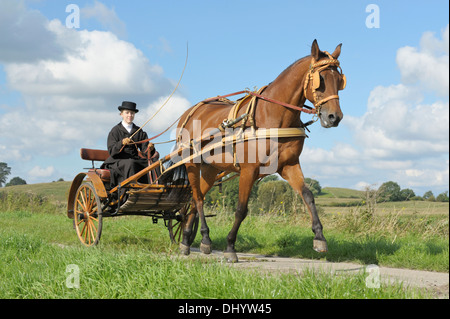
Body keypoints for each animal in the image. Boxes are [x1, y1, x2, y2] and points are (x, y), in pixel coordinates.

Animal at [176, 39, 344, 262]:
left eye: (340, 80)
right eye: (321, 79)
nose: (335, 117)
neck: (273, 117)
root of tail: (190, 111)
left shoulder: (288, 165)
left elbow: (308, 195)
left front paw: (319, 237)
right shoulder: (249, 170)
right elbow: (241, 209)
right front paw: (230, 247)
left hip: (212, 169)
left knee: (196, 200)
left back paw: (188, 240)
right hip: (191, 163)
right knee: (198, 199)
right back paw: (203, 238)